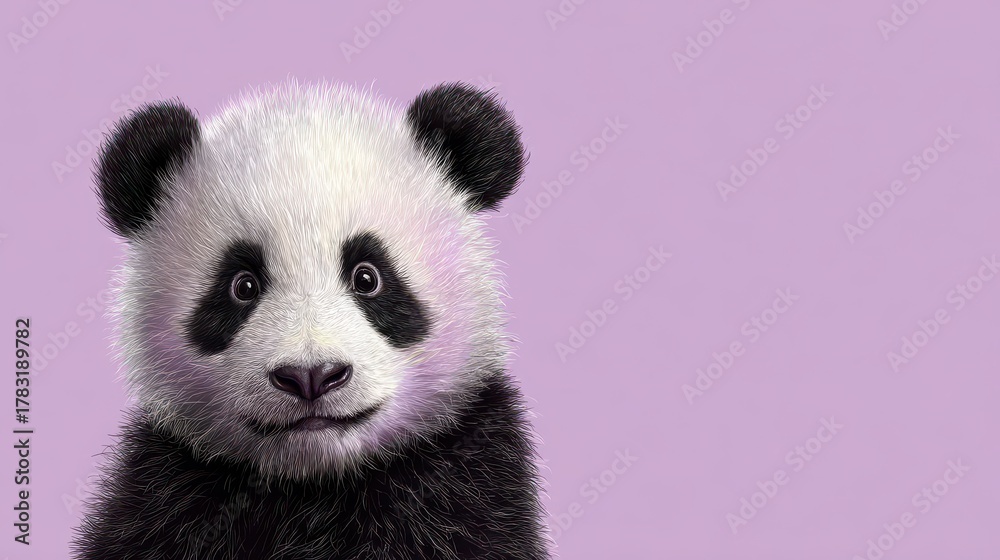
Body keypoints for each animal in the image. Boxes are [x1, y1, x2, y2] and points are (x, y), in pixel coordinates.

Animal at [72, 81, 547, 560]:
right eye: (242, 285)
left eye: (368, 277)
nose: (311, 376)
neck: (314, 485)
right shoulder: (165, 491)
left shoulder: (468, 482)